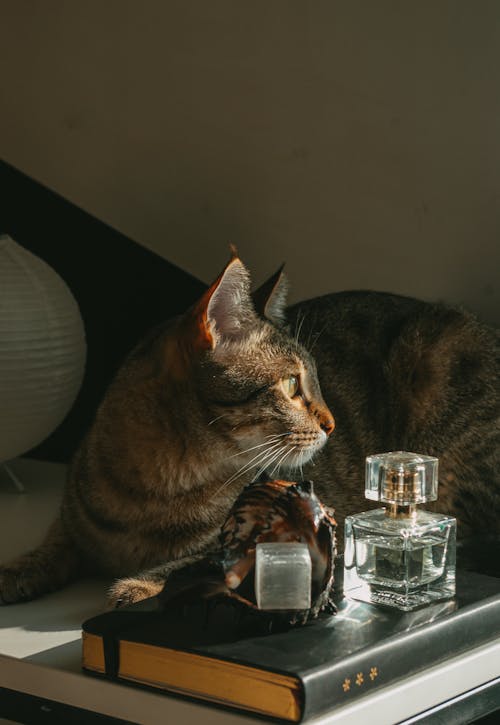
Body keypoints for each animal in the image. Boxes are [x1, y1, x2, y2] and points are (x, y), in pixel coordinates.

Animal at [0, 255, 498, 604]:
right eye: (293, 384)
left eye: (315, 381)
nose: (332, 423)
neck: (153, 492)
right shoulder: (69, 522)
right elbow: (54, 544)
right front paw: (17, 571)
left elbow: (188, 562)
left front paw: (137, 586)